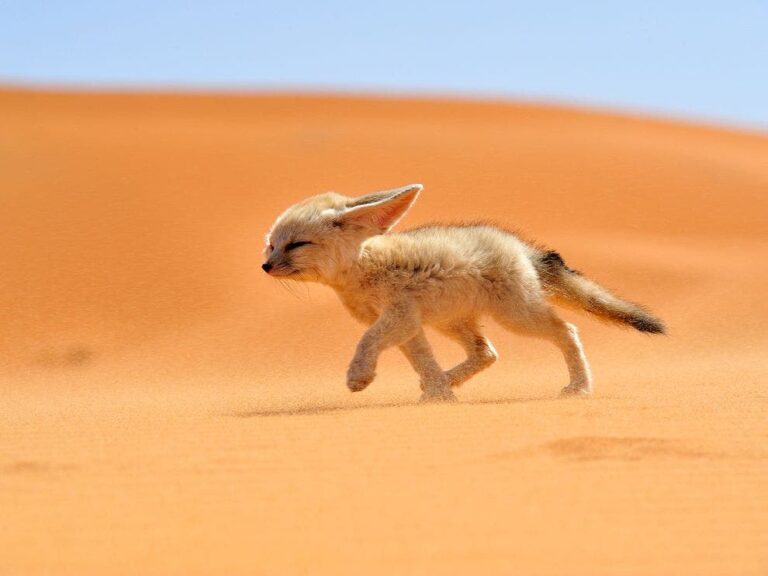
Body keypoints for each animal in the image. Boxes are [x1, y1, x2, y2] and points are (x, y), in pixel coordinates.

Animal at [262, 184, 660, 400]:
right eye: (271, 245)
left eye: (297, 245)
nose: (265, 266)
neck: (363, 267)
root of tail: (519, 245)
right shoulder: (409, 325)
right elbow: (423, 362)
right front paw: (440, 394)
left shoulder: (398, 316)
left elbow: (367, 341)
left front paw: (359, 376)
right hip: (450, 322)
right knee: (487, 353)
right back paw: (445, 382)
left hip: (516, 317)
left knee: (568, 331)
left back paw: (580, 387)